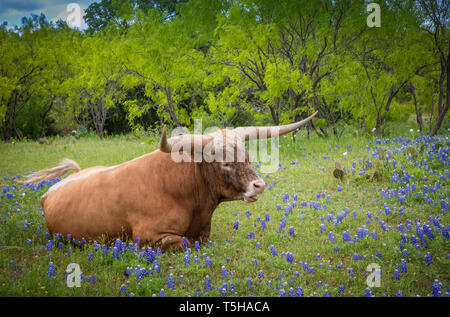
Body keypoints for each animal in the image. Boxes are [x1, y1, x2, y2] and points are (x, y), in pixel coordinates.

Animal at [21, 112, 316, 251]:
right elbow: (185, 243)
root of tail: (50, 192)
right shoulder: (148, 237)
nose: (259, 185)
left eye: (246, 155)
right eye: (224, 162)